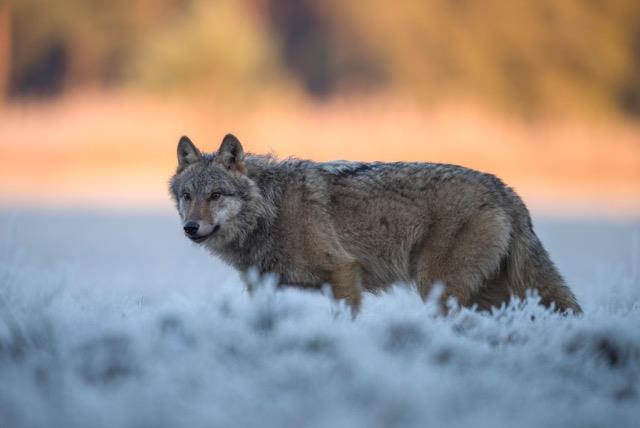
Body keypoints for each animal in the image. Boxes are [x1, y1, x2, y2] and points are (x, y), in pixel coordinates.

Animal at [169, 135, 580, 316]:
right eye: (188, 196)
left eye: (215, 196)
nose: (190, 228)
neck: (272, 210)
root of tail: (505, 190)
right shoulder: (262, 286)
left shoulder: (344, 273)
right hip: (489, 295)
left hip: (437, 289)